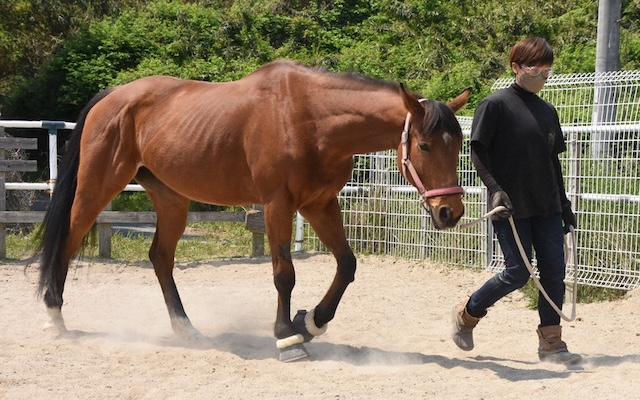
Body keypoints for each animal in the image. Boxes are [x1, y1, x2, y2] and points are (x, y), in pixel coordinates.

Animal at [35, 60, 468, 362]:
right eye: (425, 146)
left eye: (459, 146)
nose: (451, 212)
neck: (310, 118)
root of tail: (112, 96)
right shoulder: (278, 205)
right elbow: (284, 275)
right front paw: (287, 337)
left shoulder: (319, 204)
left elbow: (346, 265)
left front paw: (311, 321)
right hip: (97, 188)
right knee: (68, 241)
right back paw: (54, 316)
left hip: (172, 200)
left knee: (160, 257)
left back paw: (187, 330)